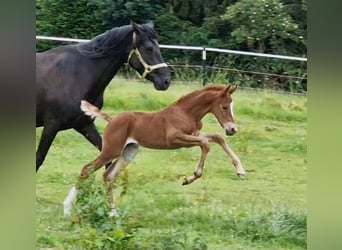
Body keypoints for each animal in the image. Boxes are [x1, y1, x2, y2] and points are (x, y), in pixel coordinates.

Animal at [36, 21, 171, 172]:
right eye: (148, 48)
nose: (166, 80)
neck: (77, 74)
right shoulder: (51, 125)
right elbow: (38, 159)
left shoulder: (85, 124)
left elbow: (107, 157)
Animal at [63, 85, 246, 216]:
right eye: (224, 107)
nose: (232, 129)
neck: (186, 113)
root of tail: (112, 119)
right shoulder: (176, 139)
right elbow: (206, 144)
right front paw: (190, 178)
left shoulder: (194, 135)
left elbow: (216, 137)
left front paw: (241, 171)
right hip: (111, 150)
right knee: (86, 169)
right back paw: (67, 208)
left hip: (128, 152)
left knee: (108, 175)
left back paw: (113, 213)